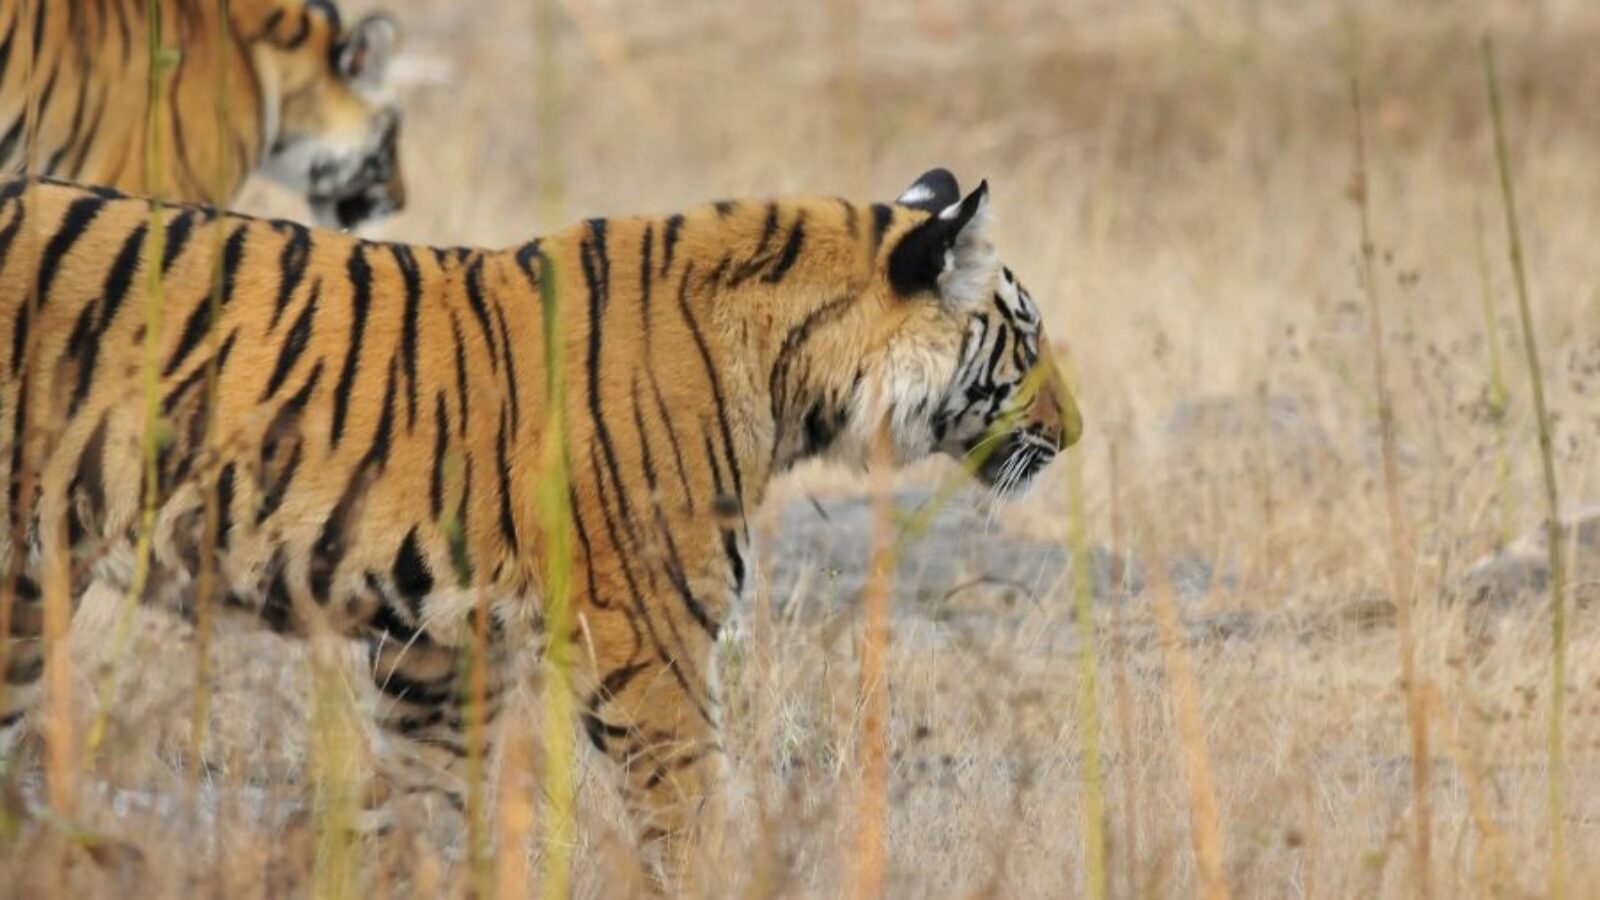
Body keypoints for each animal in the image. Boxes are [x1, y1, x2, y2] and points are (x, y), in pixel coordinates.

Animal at [0, 167, 1082, 881]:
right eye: (1025, 338)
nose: (1074, 435)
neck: (795, 384)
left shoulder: (437, 648)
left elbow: (421, 809)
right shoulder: (651, 640)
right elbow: (689, 815)